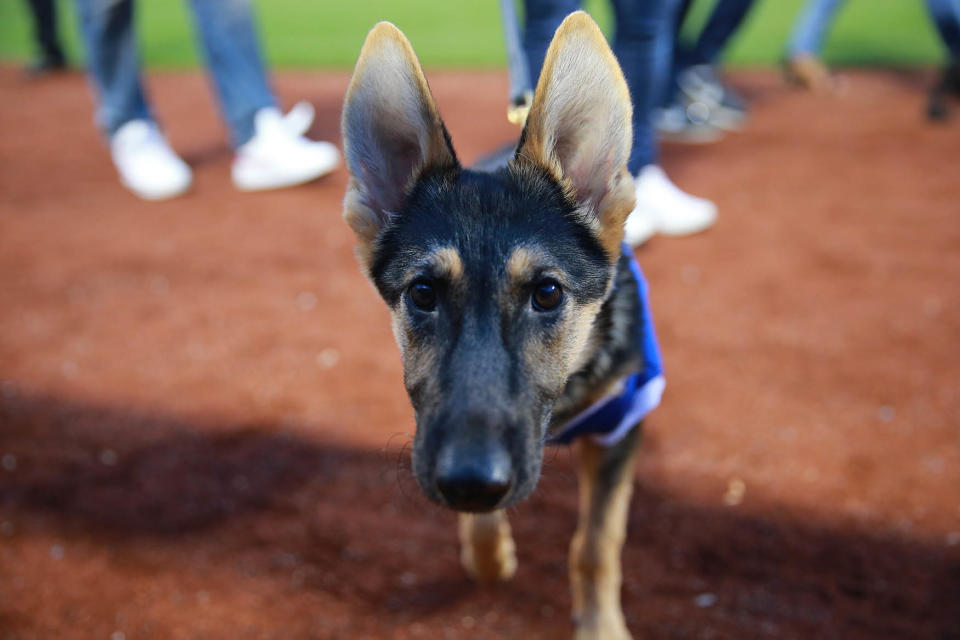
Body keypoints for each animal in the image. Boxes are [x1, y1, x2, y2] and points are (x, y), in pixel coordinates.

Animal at [342, 11, 648, 640]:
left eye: (547, 293)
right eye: (423, 293)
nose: (469, 479)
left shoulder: (619, 426)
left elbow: (596, 544)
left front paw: (601, 626)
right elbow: (484, 517)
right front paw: (487, 558)